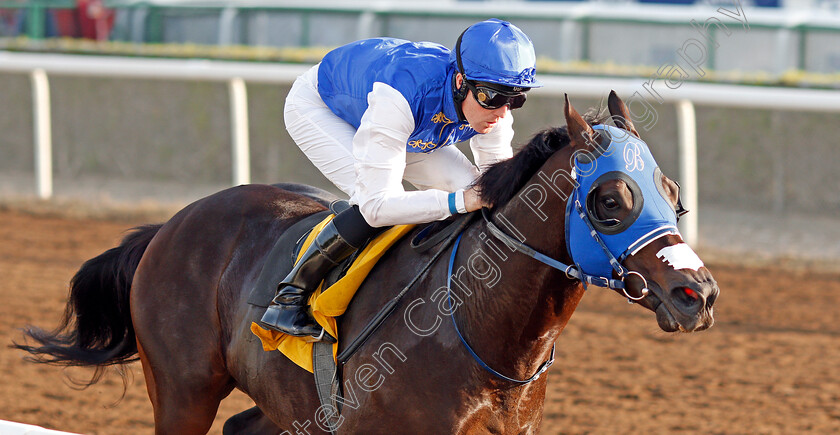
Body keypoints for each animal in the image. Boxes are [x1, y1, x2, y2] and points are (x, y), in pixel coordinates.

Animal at [16, 93, 720, 434]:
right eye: (611, 201)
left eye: (675, 195)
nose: (699, 294)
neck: (479, 328)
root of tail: (169, 225)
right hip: (183, 390)